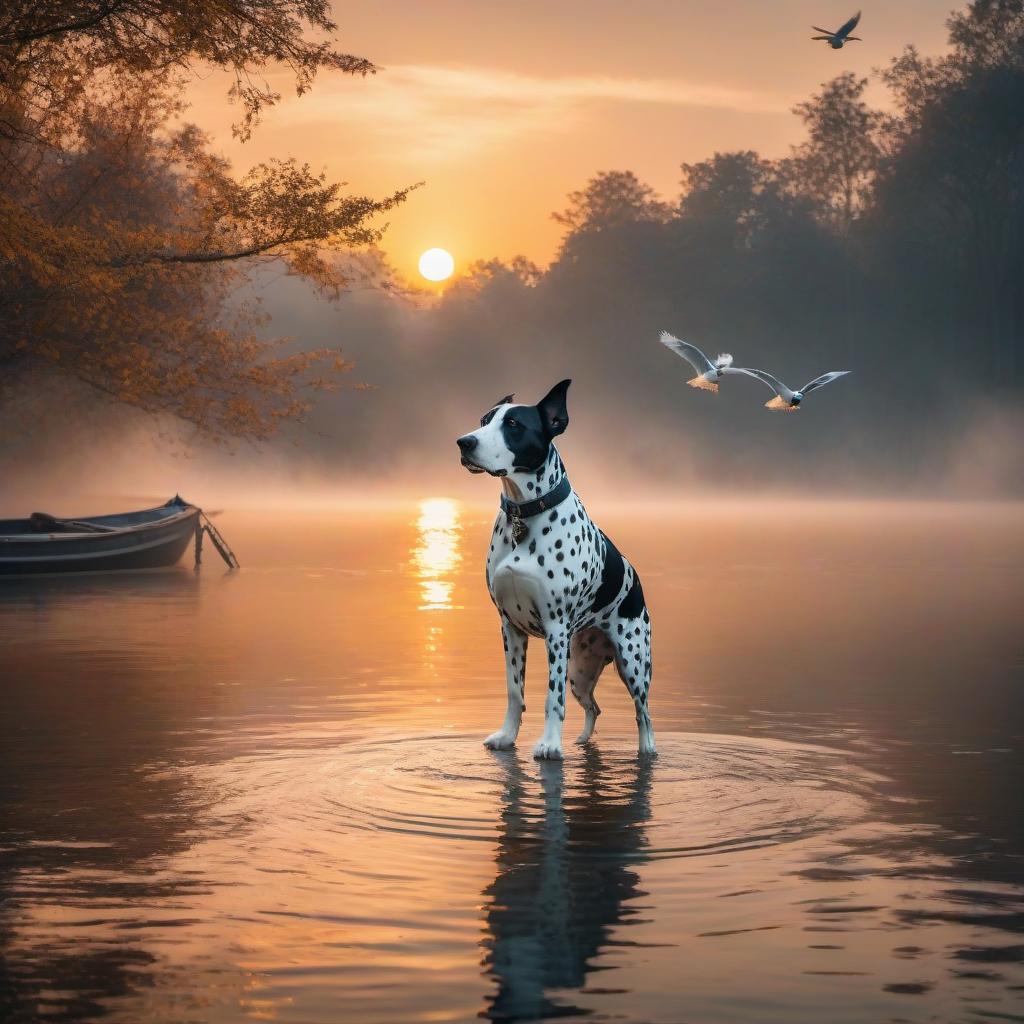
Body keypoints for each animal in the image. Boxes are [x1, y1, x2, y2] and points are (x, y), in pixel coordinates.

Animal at [456, 380, 655, 757]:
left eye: (513, 424)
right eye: (484, 420)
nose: (464, 442)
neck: (525, 513)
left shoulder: (555, 629)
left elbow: (553, 698)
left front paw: (549, 744)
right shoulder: (510, 627)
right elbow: (514, 692)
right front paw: (507, 736)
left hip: (633, 661)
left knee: (644, 714)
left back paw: (646, 749)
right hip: (581, 669)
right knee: (593, 706)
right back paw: (582, 740)